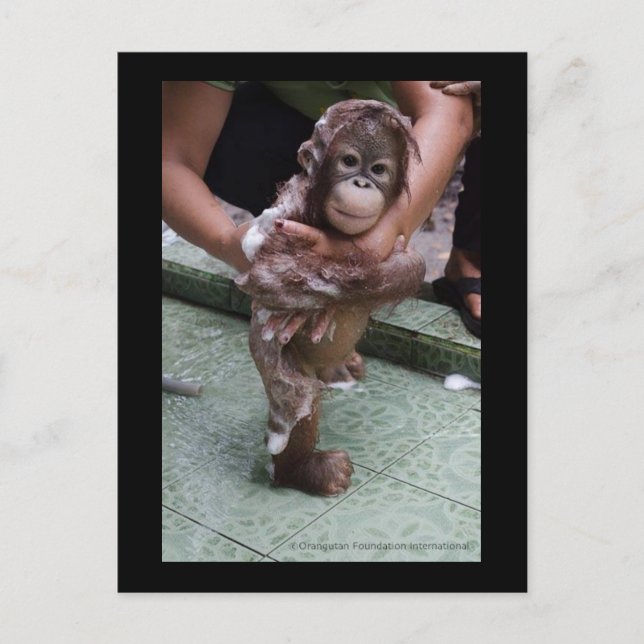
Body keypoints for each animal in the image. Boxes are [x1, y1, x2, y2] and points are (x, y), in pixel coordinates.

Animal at [234, 99, 426, 496]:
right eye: (349, 162)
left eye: (379, 169)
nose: (361, 182)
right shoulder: (288, 213)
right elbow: (271, 274)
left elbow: (404, 261)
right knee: (298, 402)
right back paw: (305, 470)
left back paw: (342, 368)